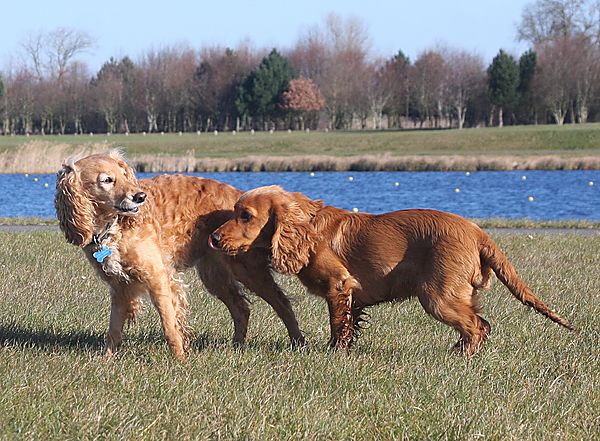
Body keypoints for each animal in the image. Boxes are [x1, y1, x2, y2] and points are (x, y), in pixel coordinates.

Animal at [54, 151, 302, 358]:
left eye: (124, 175)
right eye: (106, 180)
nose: (140, 196)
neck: (112, 228)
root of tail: (241, 199)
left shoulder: (157, 278)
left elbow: (170, 324)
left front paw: (180, 359)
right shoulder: (120, 287)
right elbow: (114, 330)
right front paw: (106, 360)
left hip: (248, 270)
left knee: (282, 303)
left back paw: (298, 342)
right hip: (214, 276)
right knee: (241, 308)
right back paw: (237, 345)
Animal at [211, 185, 576, 354]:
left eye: (245, 216)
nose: (213, 238)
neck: (309, 229)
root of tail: (477, 232)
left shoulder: (339, 285)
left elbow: (337, 326)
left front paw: (334, 353)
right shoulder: (352, 296)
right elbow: (350, 324)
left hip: (438, 296)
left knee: (476, 327)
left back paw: (459, 357)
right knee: (480, 323)